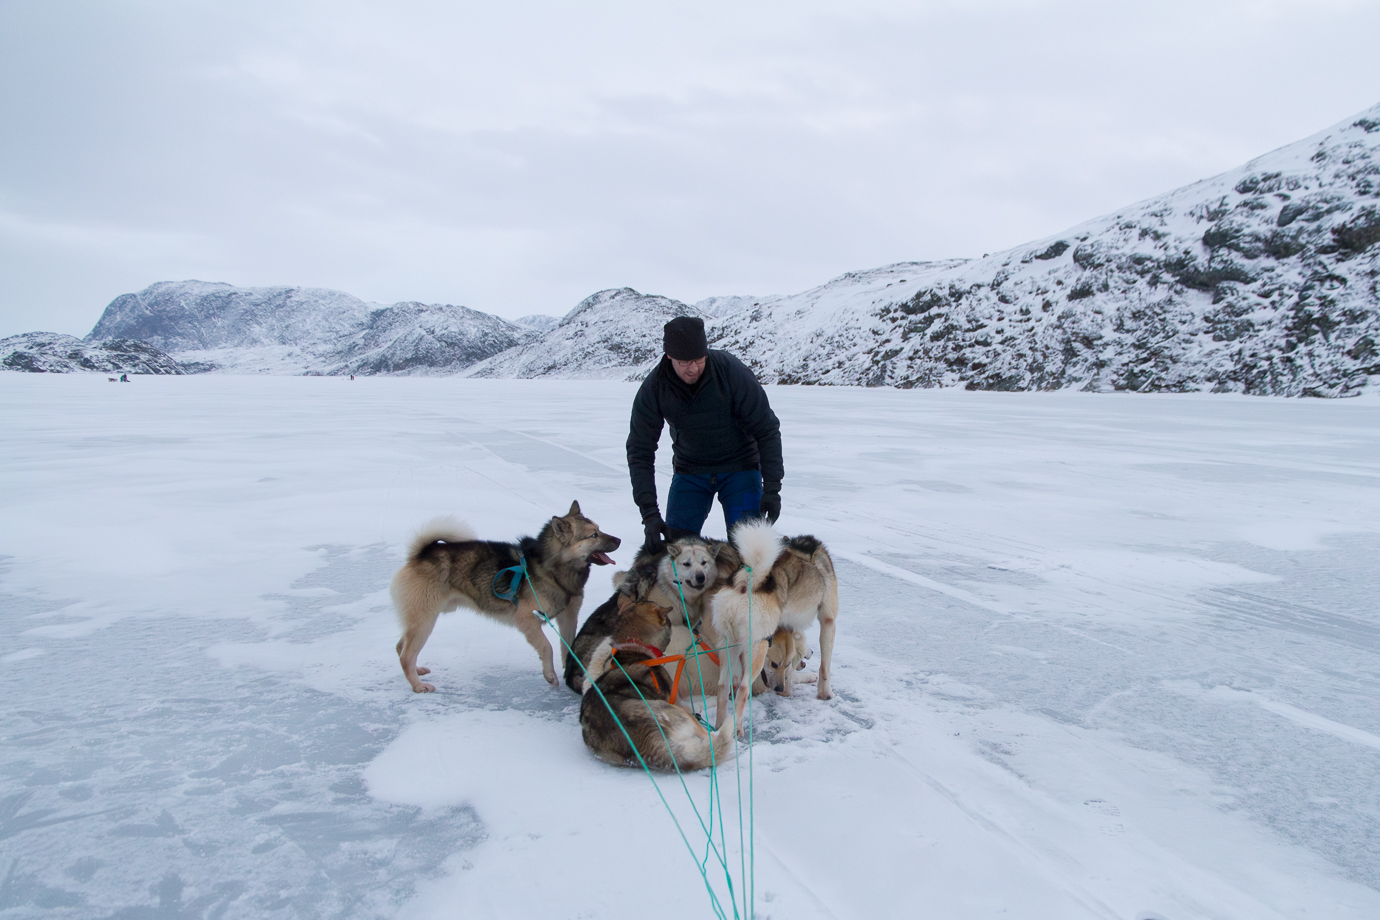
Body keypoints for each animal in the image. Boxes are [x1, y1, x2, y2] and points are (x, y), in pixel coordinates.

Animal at [391, 504, 623, 689]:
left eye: (599, 529)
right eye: (593, 535)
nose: (619, 539)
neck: (552, 569)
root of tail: (421, 554)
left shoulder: (568, 616)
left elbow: (569, 646)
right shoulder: (527, 619)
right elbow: (546, 647)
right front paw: (550, 675)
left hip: (419, 620)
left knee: (400, 646)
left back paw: (416, 672)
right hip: (425, 621)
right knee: (406, 655)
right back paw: (418, 686)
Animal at [712, 521, 839, 739]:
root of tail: (747, 582)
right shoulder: (828, 621)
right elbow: (825, 667)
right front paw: (825, 693)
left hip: (729, 645)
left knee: (722, 686)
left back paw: (720, 726)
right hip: (756, 649)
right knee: (743, 690)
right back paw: (737, 729)